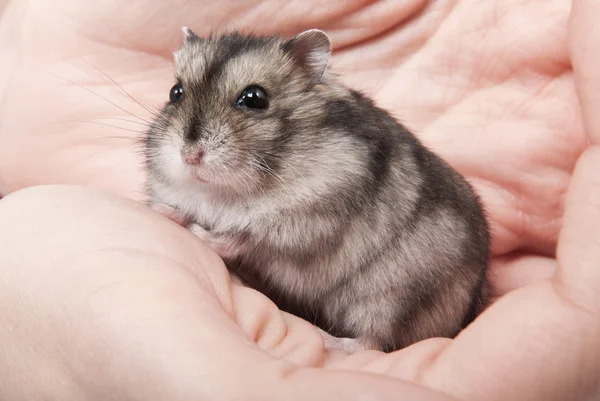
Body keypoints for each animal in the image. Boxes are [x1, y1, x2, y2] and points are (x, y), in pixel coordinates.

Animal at [143, 28, 490, 352]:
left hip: (391, 298)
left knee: (370, 342)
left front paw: (198, 232)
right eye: (175, 92)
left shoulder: (306, 222)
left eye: (255, 98)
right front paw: (162, 210)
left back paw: (329, 340)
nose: (190, 156)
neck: (226, 191)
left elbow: (240, 238)